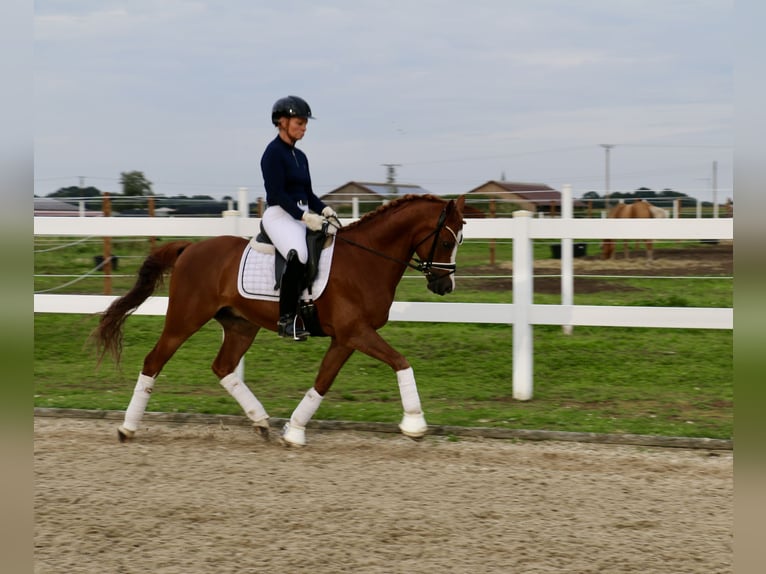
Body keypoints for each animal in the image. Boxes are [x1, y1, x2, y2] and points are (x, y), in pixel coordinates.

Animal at [94, 196, 472, 448]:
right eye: (446, 240)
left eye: (461, 239)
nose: (445, 286)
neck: (366, 260)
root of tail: (190, 248)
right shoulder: (356, 332)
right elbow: (401, 362)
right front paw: (415, 424)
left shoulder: (345, 338)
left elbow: (322, 382)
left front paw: (294, 431)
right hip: (184, 319)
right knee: (154, 361)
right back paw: (127, 429)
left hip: (240, 326)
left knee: (223, 367)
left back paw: (261, 422)